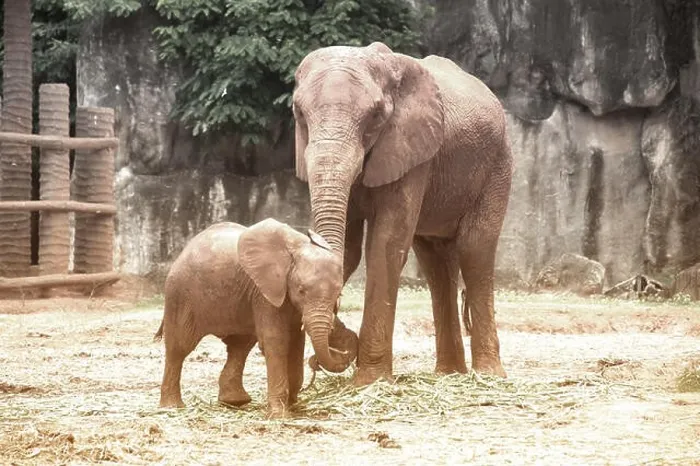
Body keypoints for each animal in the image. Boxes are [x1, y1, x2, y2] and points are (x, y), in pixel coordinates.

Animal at [154, 219, 358, 418]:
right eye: (301, 290)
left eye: (338, 294)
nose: (316, 362)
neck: (295, 249)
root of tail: (184, 250)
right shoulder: (264, 293)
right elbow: (276, 341)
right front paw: (279, 414)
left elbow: (295, 344)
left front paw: (293, 406)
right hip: (180, 294)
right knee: (179, 347)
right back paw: (172, 408)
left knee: (240, 346)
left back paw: (235, 401)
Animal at [292, 42, 513, 386]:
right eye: (298, 112)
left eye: (375, 116)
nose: (317, 361)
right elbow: (350, 249)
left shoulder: (412, 150)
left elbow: (385, 243)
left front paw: (370, 381)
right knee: (436, 262)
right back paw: (449, 373)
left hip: (497, 164)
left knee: (474, 249)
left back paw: (487, 375)